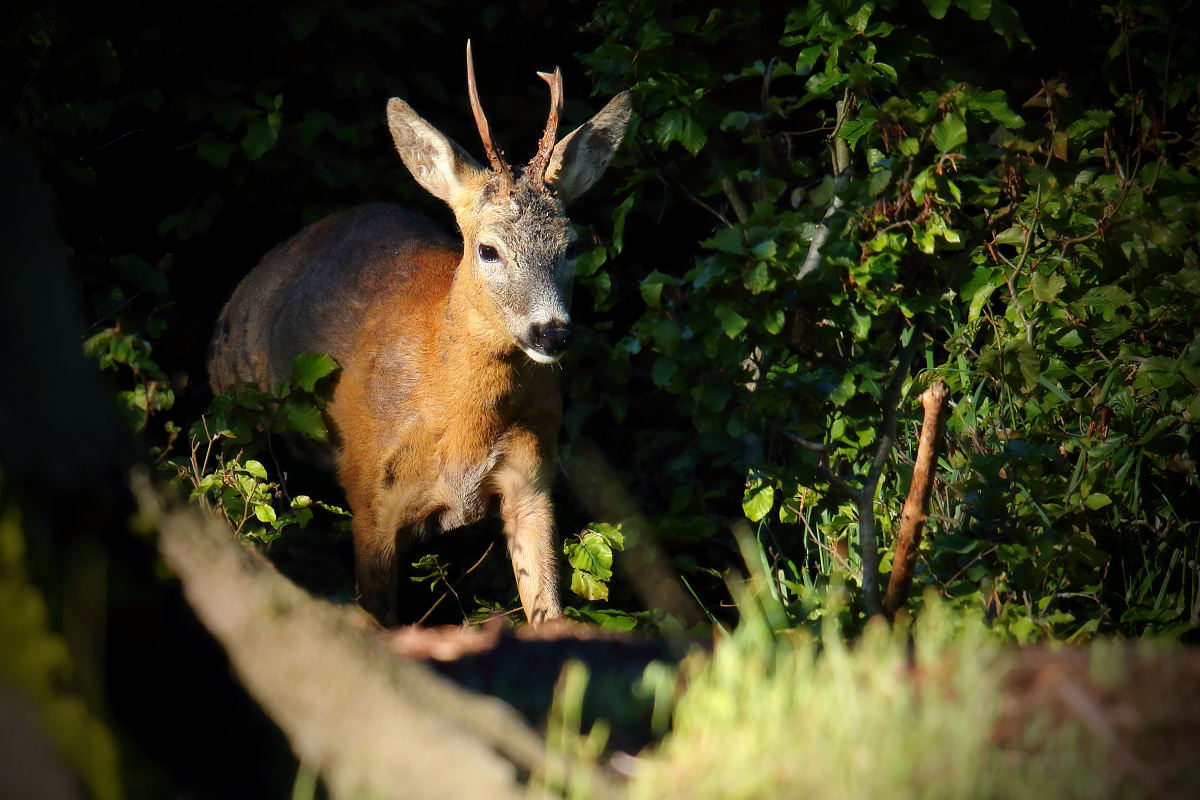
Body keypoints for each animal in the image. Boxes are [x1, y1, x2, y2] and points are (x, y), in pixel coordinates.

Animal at [210, 43, 633, 628]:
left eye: (571, 246)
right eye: (488, 249)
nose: (551, 333)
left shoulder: (534, 478)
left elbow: (548, 610)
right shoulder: (370, 494)